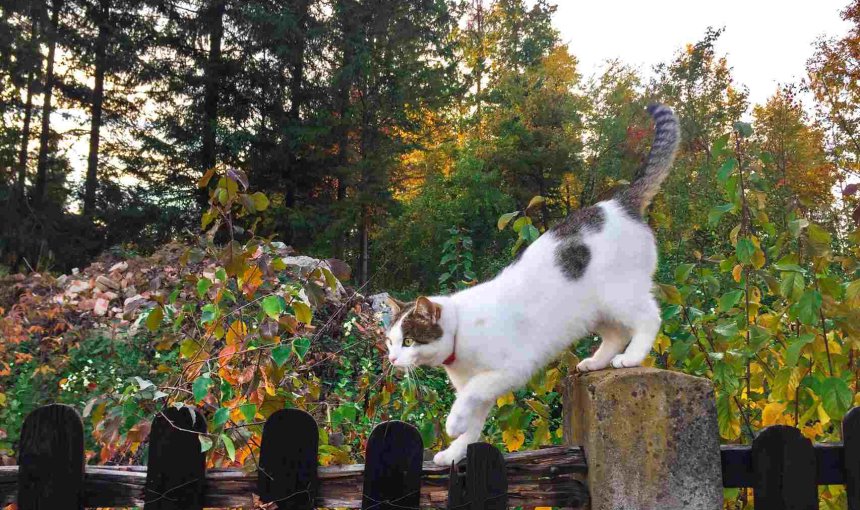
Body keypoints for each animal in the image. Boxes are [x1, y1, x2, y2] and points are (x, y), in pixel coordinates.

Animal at [382, 103, 680, 466]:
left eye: (409, 341)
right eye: (390, 341)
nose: (393, 359)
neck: (460, 336)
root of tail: (617, 203)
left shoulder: (508, 369)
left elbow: (470, 394)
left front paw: (453, 423)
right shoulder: (483, 386)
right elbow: (474, 421)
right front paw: (456, 451)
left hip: (619, 295)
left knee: (649, 318)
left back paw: (632, 357)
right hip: (593, 312)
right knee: (616, 334)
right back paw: (595, 362)